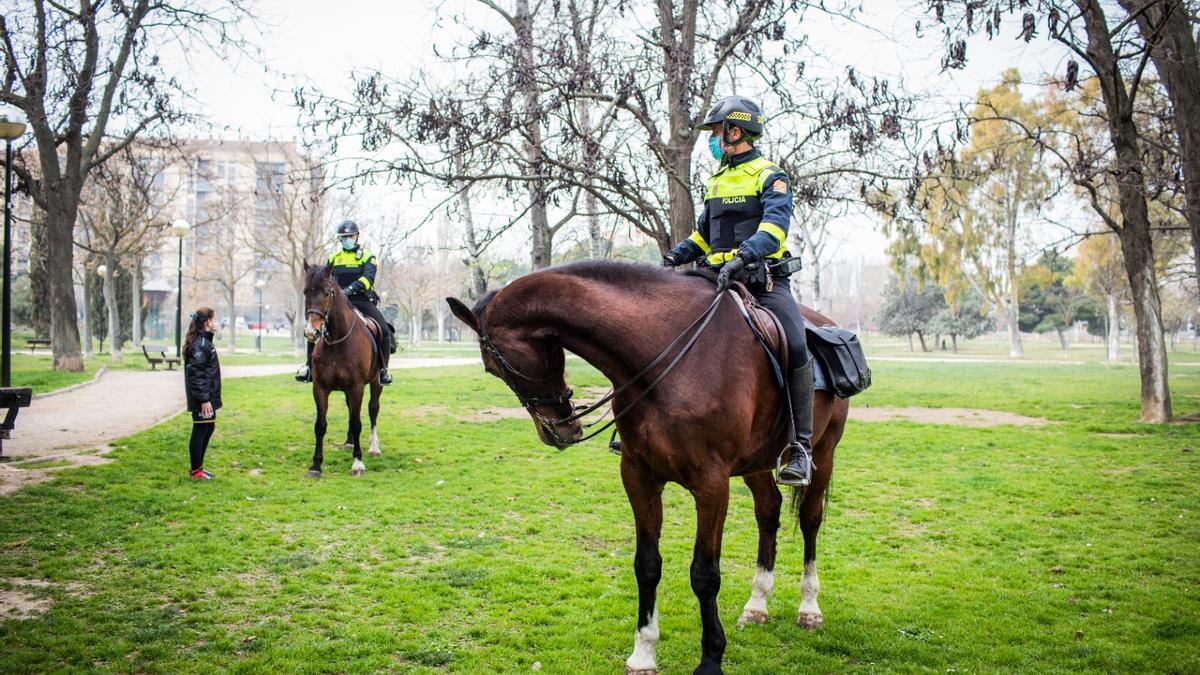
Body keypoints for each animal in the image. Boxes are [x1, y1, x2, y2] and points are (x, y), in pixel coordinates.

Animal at [302, 260, 381, 475]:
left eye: (327, 292)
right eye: (305, 291)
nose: (311, 331)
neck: (338, 341)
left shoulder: (357, 387)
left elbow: (357, 422)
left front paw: (358, 462)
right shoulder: (320, 388)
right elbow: (320, 425)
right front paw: (316, 464)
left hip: (376, 383)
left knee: (373, 409)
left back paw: (374, 447)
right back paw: (349, 442)